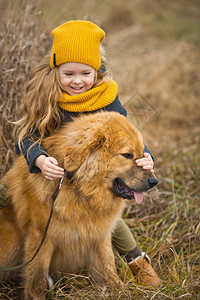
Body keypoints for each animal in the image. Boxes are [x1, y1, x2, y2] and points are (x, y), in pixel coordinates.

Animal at [0, 111, 158, 298]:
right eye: (127, 155)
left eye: (142, 153)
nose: (154, 181)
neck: (80, 190)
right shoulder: (41, 236)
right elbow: (37, 278)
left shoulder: (99, 234)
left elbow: (108, 267)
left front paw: (119, 291)